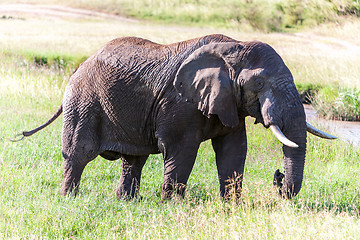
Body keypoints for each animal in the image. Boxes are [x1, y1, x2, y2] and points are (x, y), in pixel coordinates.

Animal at [19, 33, 336, 199]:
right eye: (258, 83)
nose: (278, 177)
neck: (235, 46)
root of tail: (78, 67)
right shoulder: (179, 102)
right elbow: (182, 150)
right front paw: (171, 205)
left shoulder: (228, 102)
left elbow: (233, 150)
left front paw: (232, 208)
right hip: (83, 102)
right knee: (78, 154)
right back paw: (68, 198)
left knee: (133, 159)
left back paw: (127, 202)